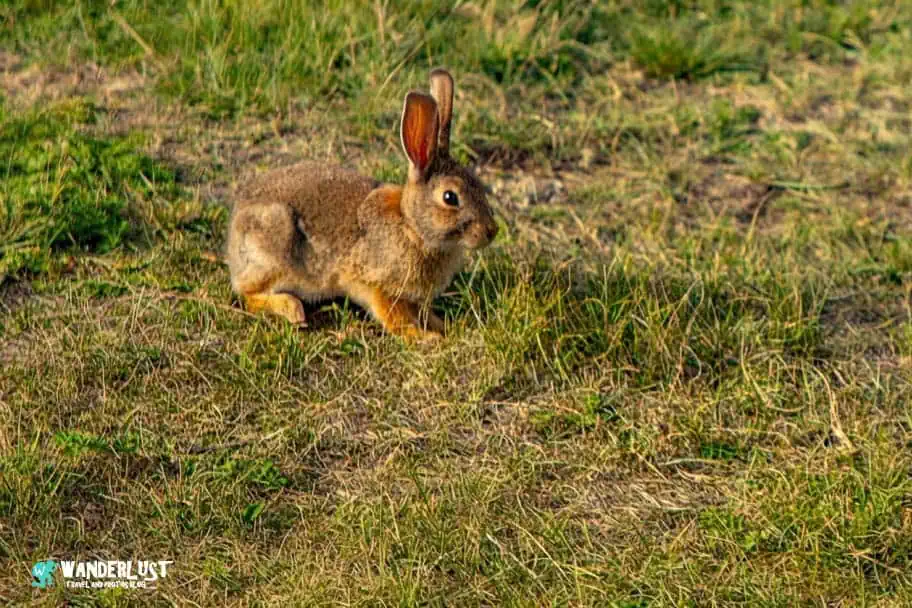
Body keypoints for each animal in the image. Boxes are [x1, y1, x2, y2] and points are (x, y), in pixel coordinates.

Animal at [226, 68, 498, 340]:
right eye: (450, 197)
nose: (491, 231)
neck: (412, 227)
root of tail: (233, 235)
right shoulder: (378, 286)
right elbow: (395, 319)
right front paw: (425, 337)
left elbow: (425, 314)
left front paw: (443, 327)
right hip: (275, 246)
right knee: (247, 294)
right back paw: (291, 308)